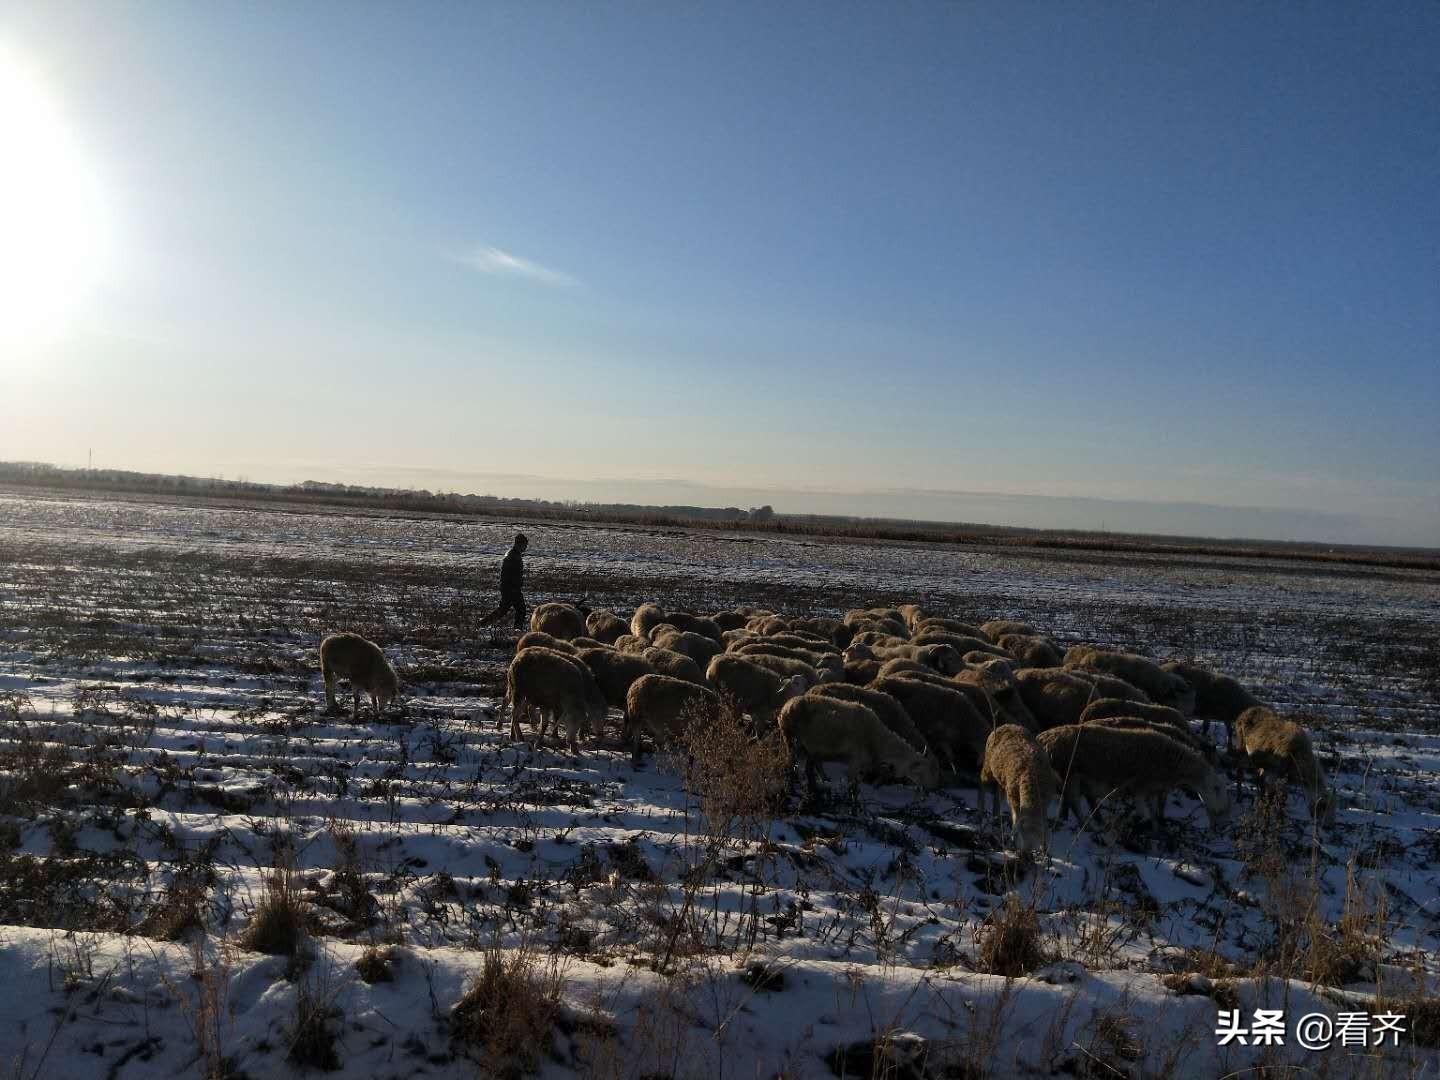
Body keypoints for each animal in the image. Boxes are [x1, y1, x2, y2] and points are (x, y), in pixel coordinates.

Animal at [777, 694, 944, 794]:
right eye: (925, 769)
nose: (933, 789)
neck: (878, 741)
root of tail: (786, 706)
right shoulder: (854, 761)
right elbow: (852, 787)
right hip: (791, 738)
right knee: (791, 764)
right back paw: (792, 789)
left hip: (809, 747)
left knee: (807, 767)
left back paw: (815, 786)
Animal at [1036, 728, 1226, 829]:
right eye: (1216, 788)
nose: (1221, 818)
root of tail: (1043, 739)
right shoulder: (1139, 786)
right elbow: (1144, 813)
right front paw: (1138, 821)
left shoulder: (1152, 789)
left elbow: (1153, 812)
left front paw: (1157, 827)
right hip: (1071, 775)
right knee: (1074, 802)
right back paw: (1087, 825)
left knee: (1069, 801)